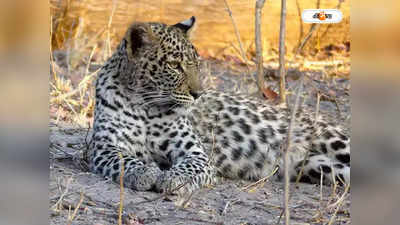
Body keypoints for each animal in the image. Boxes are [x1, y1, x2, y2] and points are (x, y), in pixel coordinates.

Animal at [90, 16, 350, 194]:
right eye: (174, 66)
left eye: (196, 64)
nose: (198, 94)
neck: (145, 106)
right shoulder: (103, 145)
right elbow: (123, 159)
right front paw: (145, 172)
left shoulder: (196, 153)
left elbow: (188, 168)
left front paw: (172, 179)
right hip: (320, 167)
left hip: (335, 141)